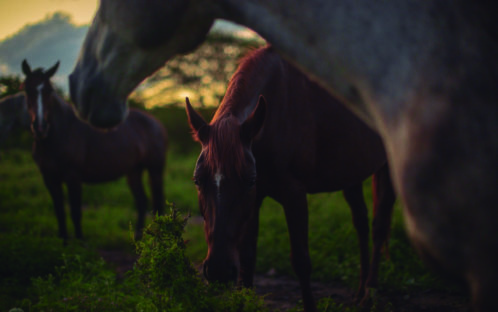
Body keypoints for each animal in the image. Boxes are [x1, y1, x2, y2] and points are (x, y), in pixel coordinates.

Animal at [21, 60, 167, 241]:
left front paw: (79, 242)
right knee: (142, 201)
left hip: (155, 170)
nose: (40, 127)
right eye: (26, 89)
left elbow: (75, 212)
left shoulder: (73, 177)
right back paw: (138, 237)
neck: (59, 134)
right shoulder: (49, 178)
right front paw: (63, 241)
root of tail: (156, 124)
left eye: (49, 91)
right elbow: (59, 212)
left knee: (158, 204)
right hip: (134, 171)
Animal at [185, 45, 394, 310]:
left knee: (379, 226)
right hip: (351, 173)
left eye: (248, 181)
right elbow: (247, 262)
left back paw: (370, 291)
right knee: (361, 223)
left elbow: (301, 261)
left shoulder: (293, 195)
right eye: (198, 181)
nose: (219, 270)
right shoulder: (255, 201)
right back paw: (359, 291)